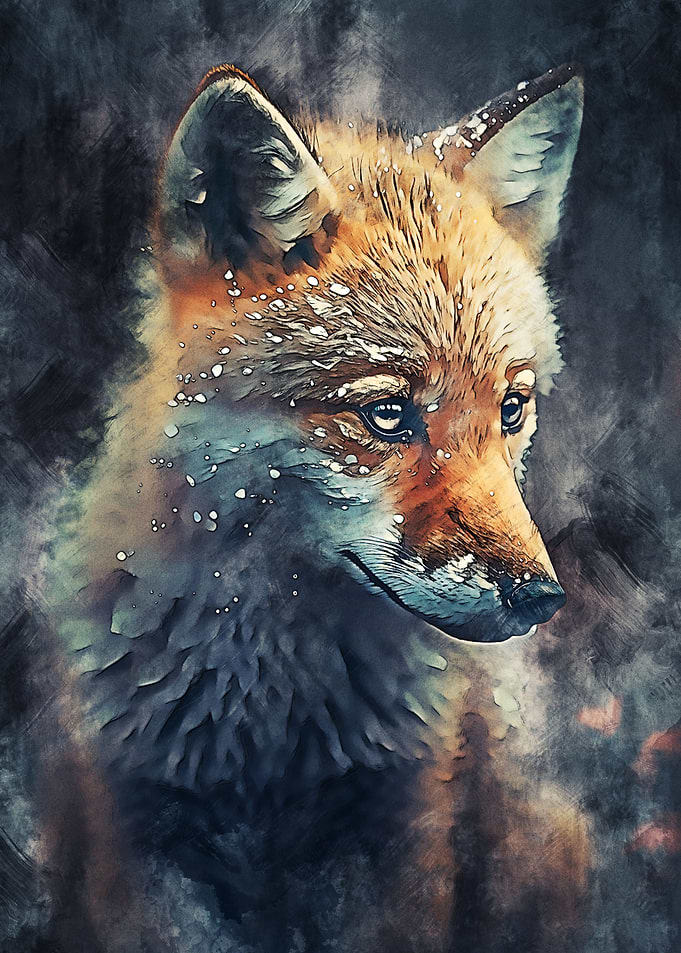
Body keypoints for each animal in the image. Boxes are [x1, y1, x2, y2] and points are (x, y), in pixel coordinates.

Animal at [39, 63, 584, 950]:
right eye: (387, 414)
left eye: (510, 408)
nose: (540, 597)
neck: (267, 723)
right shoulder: (136, 826)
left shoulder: (402, 825)